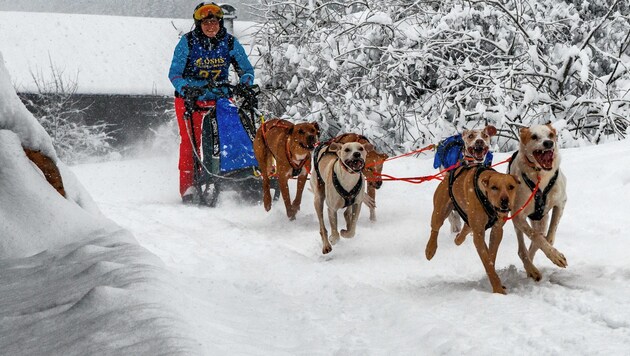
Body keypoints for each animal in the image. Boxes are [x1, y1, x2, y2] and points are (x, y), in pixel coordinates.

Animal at [428, 165, 520, 294]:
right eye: (494, 187)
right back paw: (430, 249)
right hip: (440, 210)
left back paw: (458, 238)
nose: (504, 201)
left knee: (466, 228)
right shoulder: (478, 235)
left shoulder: (497, 230)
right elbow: (487, 262)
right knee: (435, 228)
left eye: (511, 187)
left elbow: (490, 257)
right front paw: (498, 289)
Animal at [512, 124, 572, 282]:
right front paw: (554, 255)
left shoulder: (560, 202)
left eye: (551, 135)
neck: (539, 175)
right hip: (516, 223)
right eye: (534, 136)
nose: (548, 143)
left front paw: (553, 252)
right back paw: (531, 268)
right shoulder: (518, 216)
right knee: (522, 250)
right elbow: (536, 237)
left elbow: (548, 237)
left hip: (541, 220)